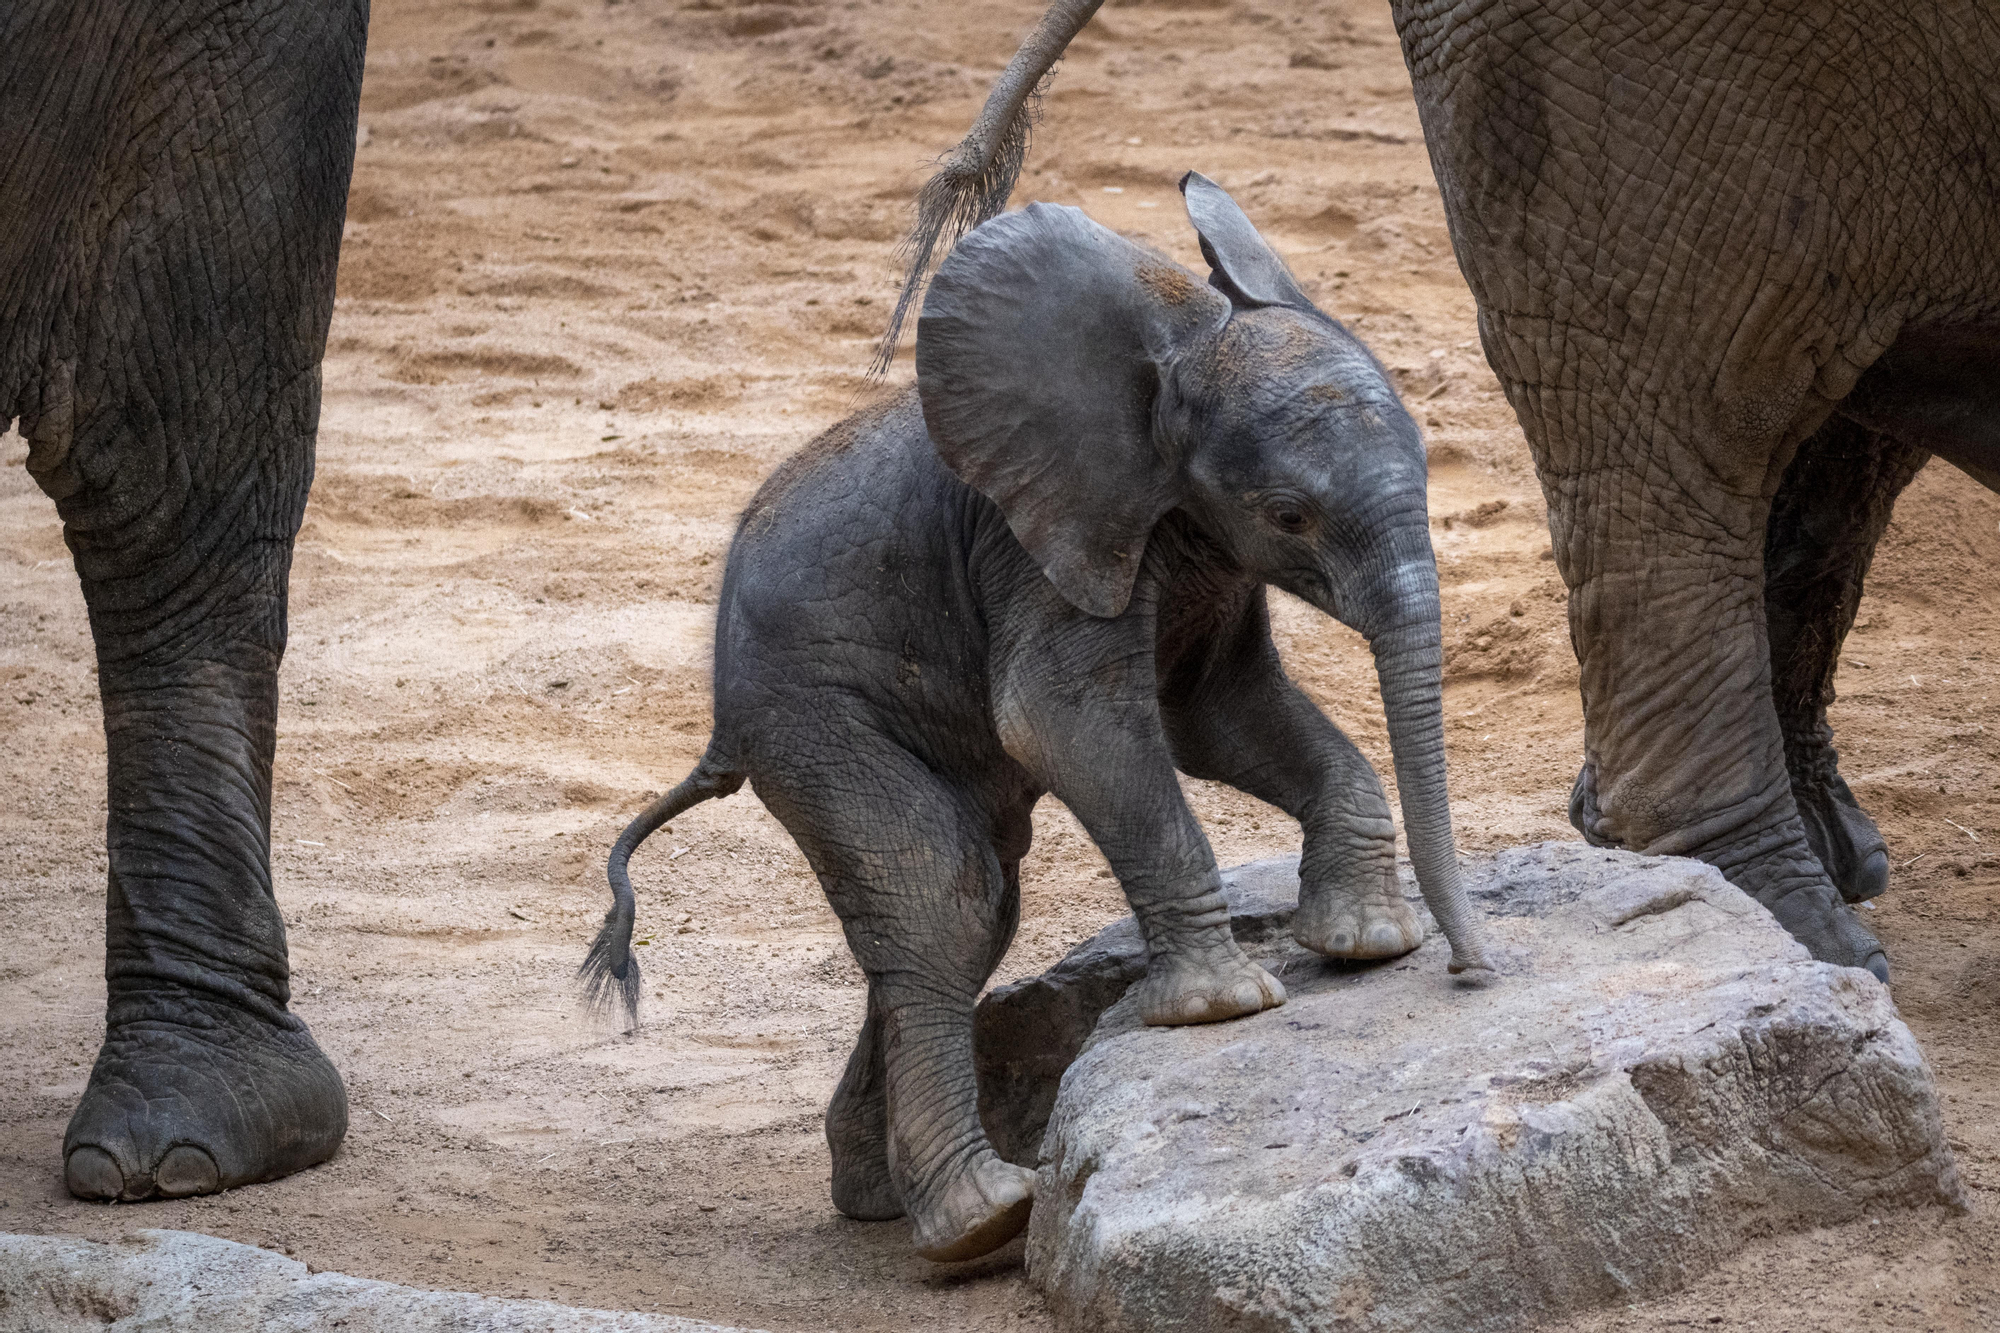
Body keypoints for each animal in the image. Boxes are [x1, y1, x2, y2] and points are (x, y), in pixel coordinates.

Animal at [580, 171, 1488, 1264]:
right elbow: (1062, 719)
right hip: (809, 715)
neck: (1177, 344)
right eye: (1287, 516)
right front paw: (1220, 1009)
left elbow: (1216, 712)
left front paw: (1363, 944)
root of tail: (719, 719)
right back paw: (982, 1221)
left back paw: (880, 1201)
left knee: (965, 915)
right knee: (945, 896)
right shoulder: (1035, 540)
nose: (1472, 973)